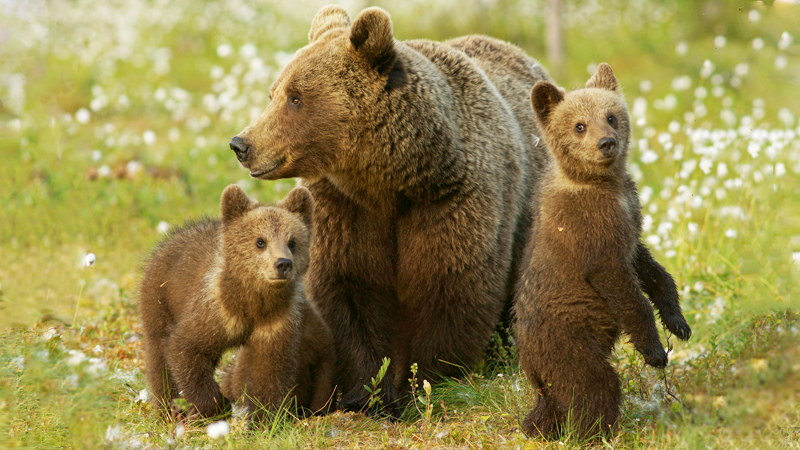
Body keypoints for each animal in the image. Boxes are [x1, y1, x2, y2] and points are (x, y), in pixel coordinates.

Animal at [227, 4, 552, 414]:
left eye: (296, 97)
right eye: (275, 92)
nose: (242, 144)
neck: (391, 180)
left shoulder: (451, 200)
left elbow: (447, 288)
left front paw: (418, 385)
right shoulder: (345, 209)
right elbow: (350, 291)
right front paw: (367, 393)